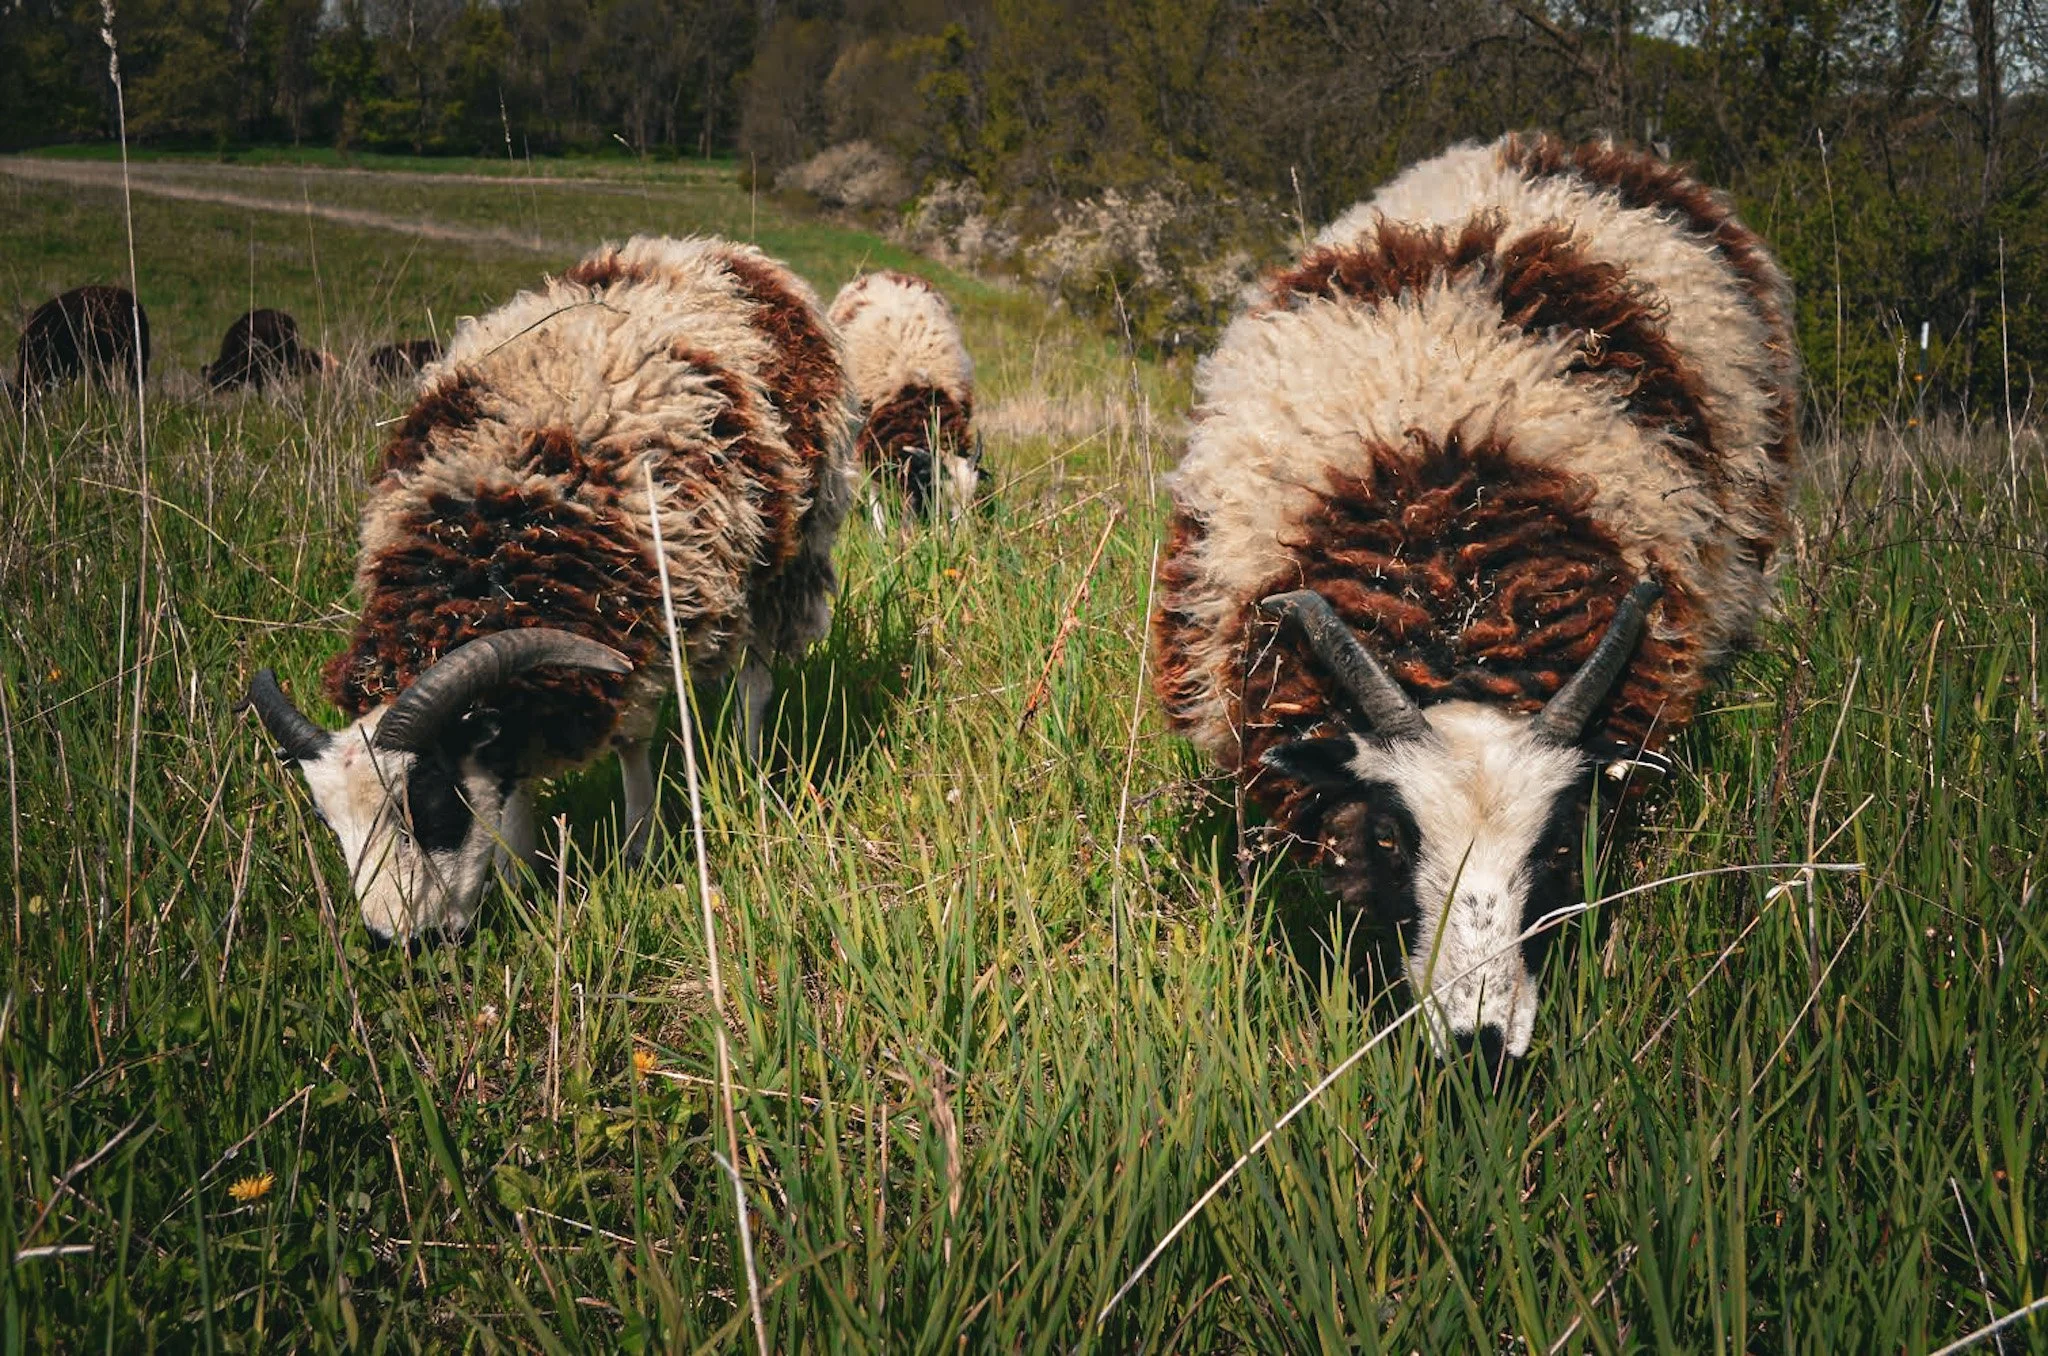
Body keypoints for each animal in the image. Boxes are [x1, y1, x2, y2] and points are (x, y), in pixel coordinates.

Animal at [244, 234, 856, 943]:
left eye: (429, 800)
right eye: (327, 821)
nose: (398, 942)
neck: (490, 548)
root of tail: (712, 249)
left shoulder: (640, 626)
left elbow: (632, 742)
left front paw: (639, 847)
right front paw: (521, 876)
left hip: (785, 552)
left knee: (756, 675)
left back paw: (749, 768)